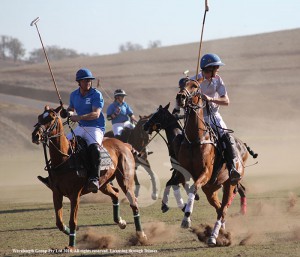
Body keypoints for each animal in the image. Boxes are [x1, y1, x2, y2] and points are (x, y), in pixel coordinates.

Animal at [31, 104, 146, 248]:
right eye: (39, 117)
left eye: (51, 118)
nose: (35, 135)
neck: (64, 159)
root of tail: (124, 144)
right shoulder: (56, 193)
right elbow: (59, 222)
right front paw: (72, 232)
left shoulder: (75, 194)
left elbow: (72, 221)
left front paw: (71, 246)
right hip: (103, 183)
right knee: (115, 194)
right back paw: (121, 222)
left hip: (125, 179)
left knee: (133, 203)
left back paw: (141, 236)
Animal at [175, 78, 256, 246]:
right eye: (181, 85)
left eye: (195, 86)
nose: (180, 97)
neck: (195, 139)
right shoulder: (184, 173)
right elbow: (183, 186)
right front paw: (185, 213)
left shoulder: (205, 172)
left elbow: (193, 188)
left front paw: (186, 219)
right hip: (211, 189)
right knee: (219, 209)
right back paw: (221, 233)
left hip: (229, 183)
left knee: (223, 209)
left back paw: (213, 236)